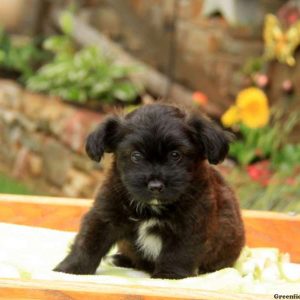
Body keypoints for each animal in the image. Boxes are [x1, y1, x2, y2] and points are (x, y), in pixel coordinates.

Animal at [54, 103, 244, 278]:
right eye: (135, 156)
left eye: (175, 155)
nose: (155, 186)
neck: (152, 207)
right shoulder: (104, 215)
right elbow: (88, 241)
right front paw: (69, 269)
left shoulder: (190, 226)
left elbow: (178, 253)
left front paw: (168, 276)